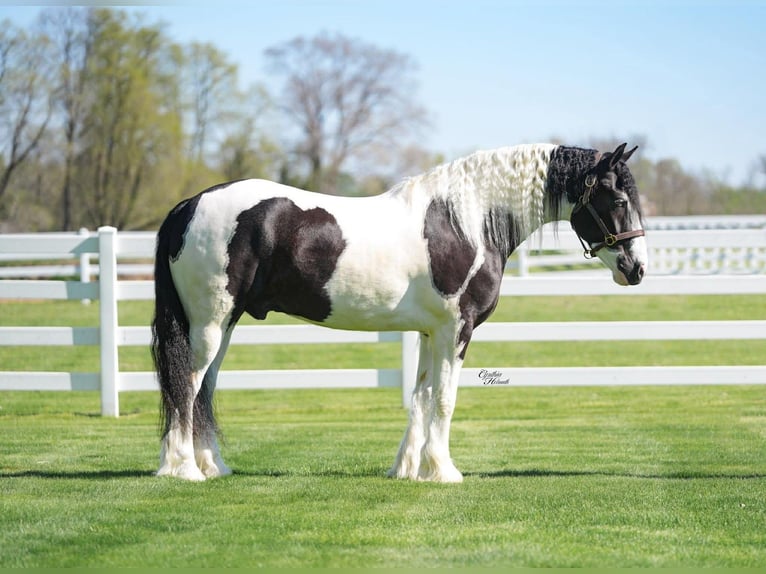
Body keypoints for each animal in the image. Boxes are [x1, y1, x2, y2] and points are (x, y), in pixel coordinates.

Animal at [151, 142, 648, 483]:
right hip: (209, 324)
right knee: (187, 385)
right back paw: (183, 469)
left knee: (204, 389)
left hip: (222, 326)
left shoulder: (430, 333)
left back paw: (212, 466)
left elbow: (421, 396)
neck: (466, 221)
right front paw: (445, 471)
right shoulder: (455, 330)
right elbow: (445, 399)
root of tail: (188, 206)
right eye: (620, 201)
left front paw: (410, 469)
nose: (637, 269)